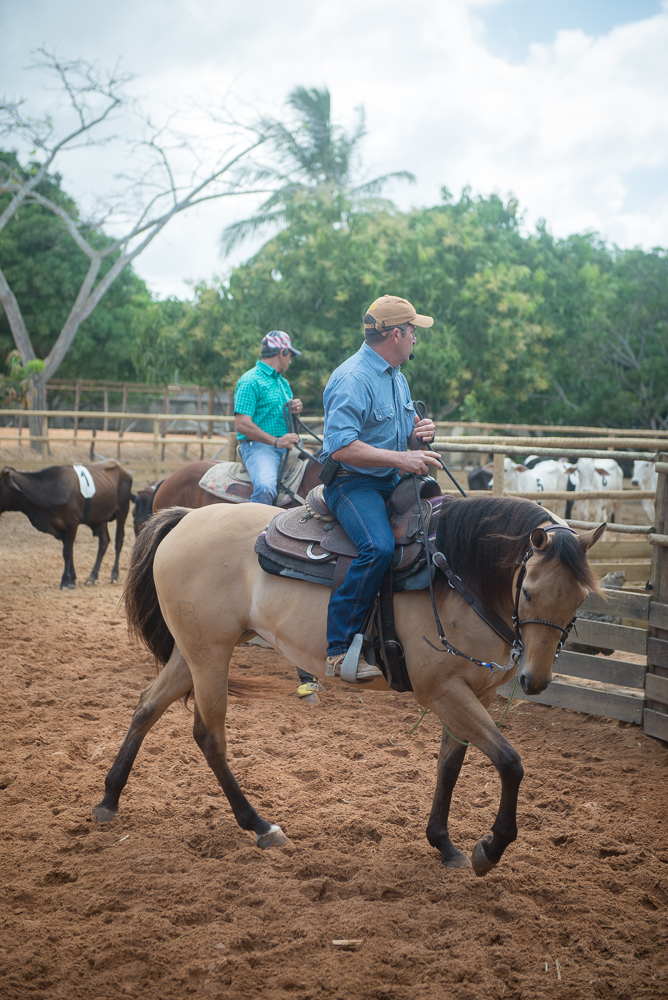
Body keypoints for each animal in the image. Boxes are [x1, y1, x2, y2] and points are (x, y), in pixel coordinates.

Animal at [0, 458, 133, 588]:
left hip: (122, 511)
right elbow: (70, 550)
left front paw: (64, 580)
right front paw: (72, 579)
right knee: (104, 542)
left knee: (118, 541)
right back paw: (92, 577)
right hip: (99, 517)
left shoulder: (71, 523)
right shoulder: (62, 527)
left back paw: (114, 575)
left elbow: (67, 551)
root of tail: (122, 468)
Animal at [91, 494, 604, 876]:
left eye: (580, 598)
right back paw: (259, 825)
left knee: (147, 706)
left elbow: (450, 767)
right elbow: (510, 763)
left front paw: (444, 844)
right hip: (209, 654)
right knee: (208, 736)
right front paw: (489, 849)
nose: (534, 680)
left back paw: (110, 798)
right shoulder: (442, 691)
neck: (457, 576)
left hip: (194, 651)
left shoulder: (476, 693)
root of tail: (186, 518)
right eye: (529, 591)